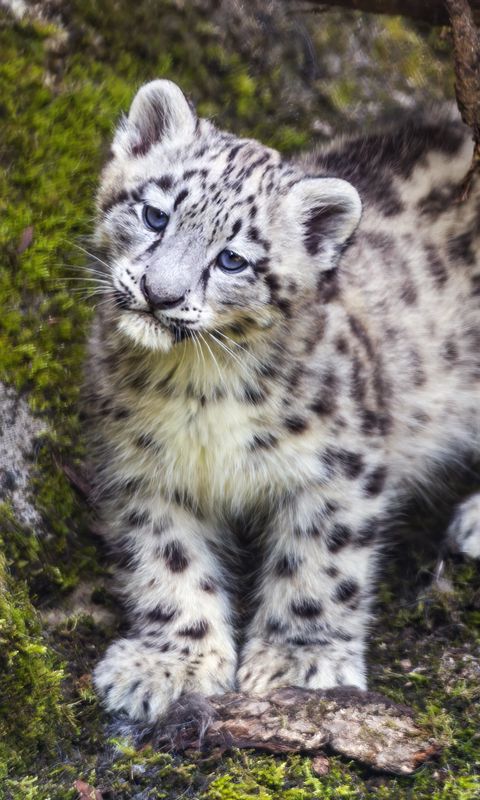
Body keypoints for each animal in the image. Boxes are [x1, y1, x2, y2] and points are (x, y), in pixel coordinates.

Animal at [86, 79, 480, 723]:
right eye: (154, 214)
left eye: (233, 259)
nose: (159, 293)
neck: (198, 389)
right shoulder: (140, 467)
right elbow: (165, 559)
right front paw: (170, 663)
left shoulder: (340, 465)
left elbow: (321, 563)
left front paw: (299, 660)